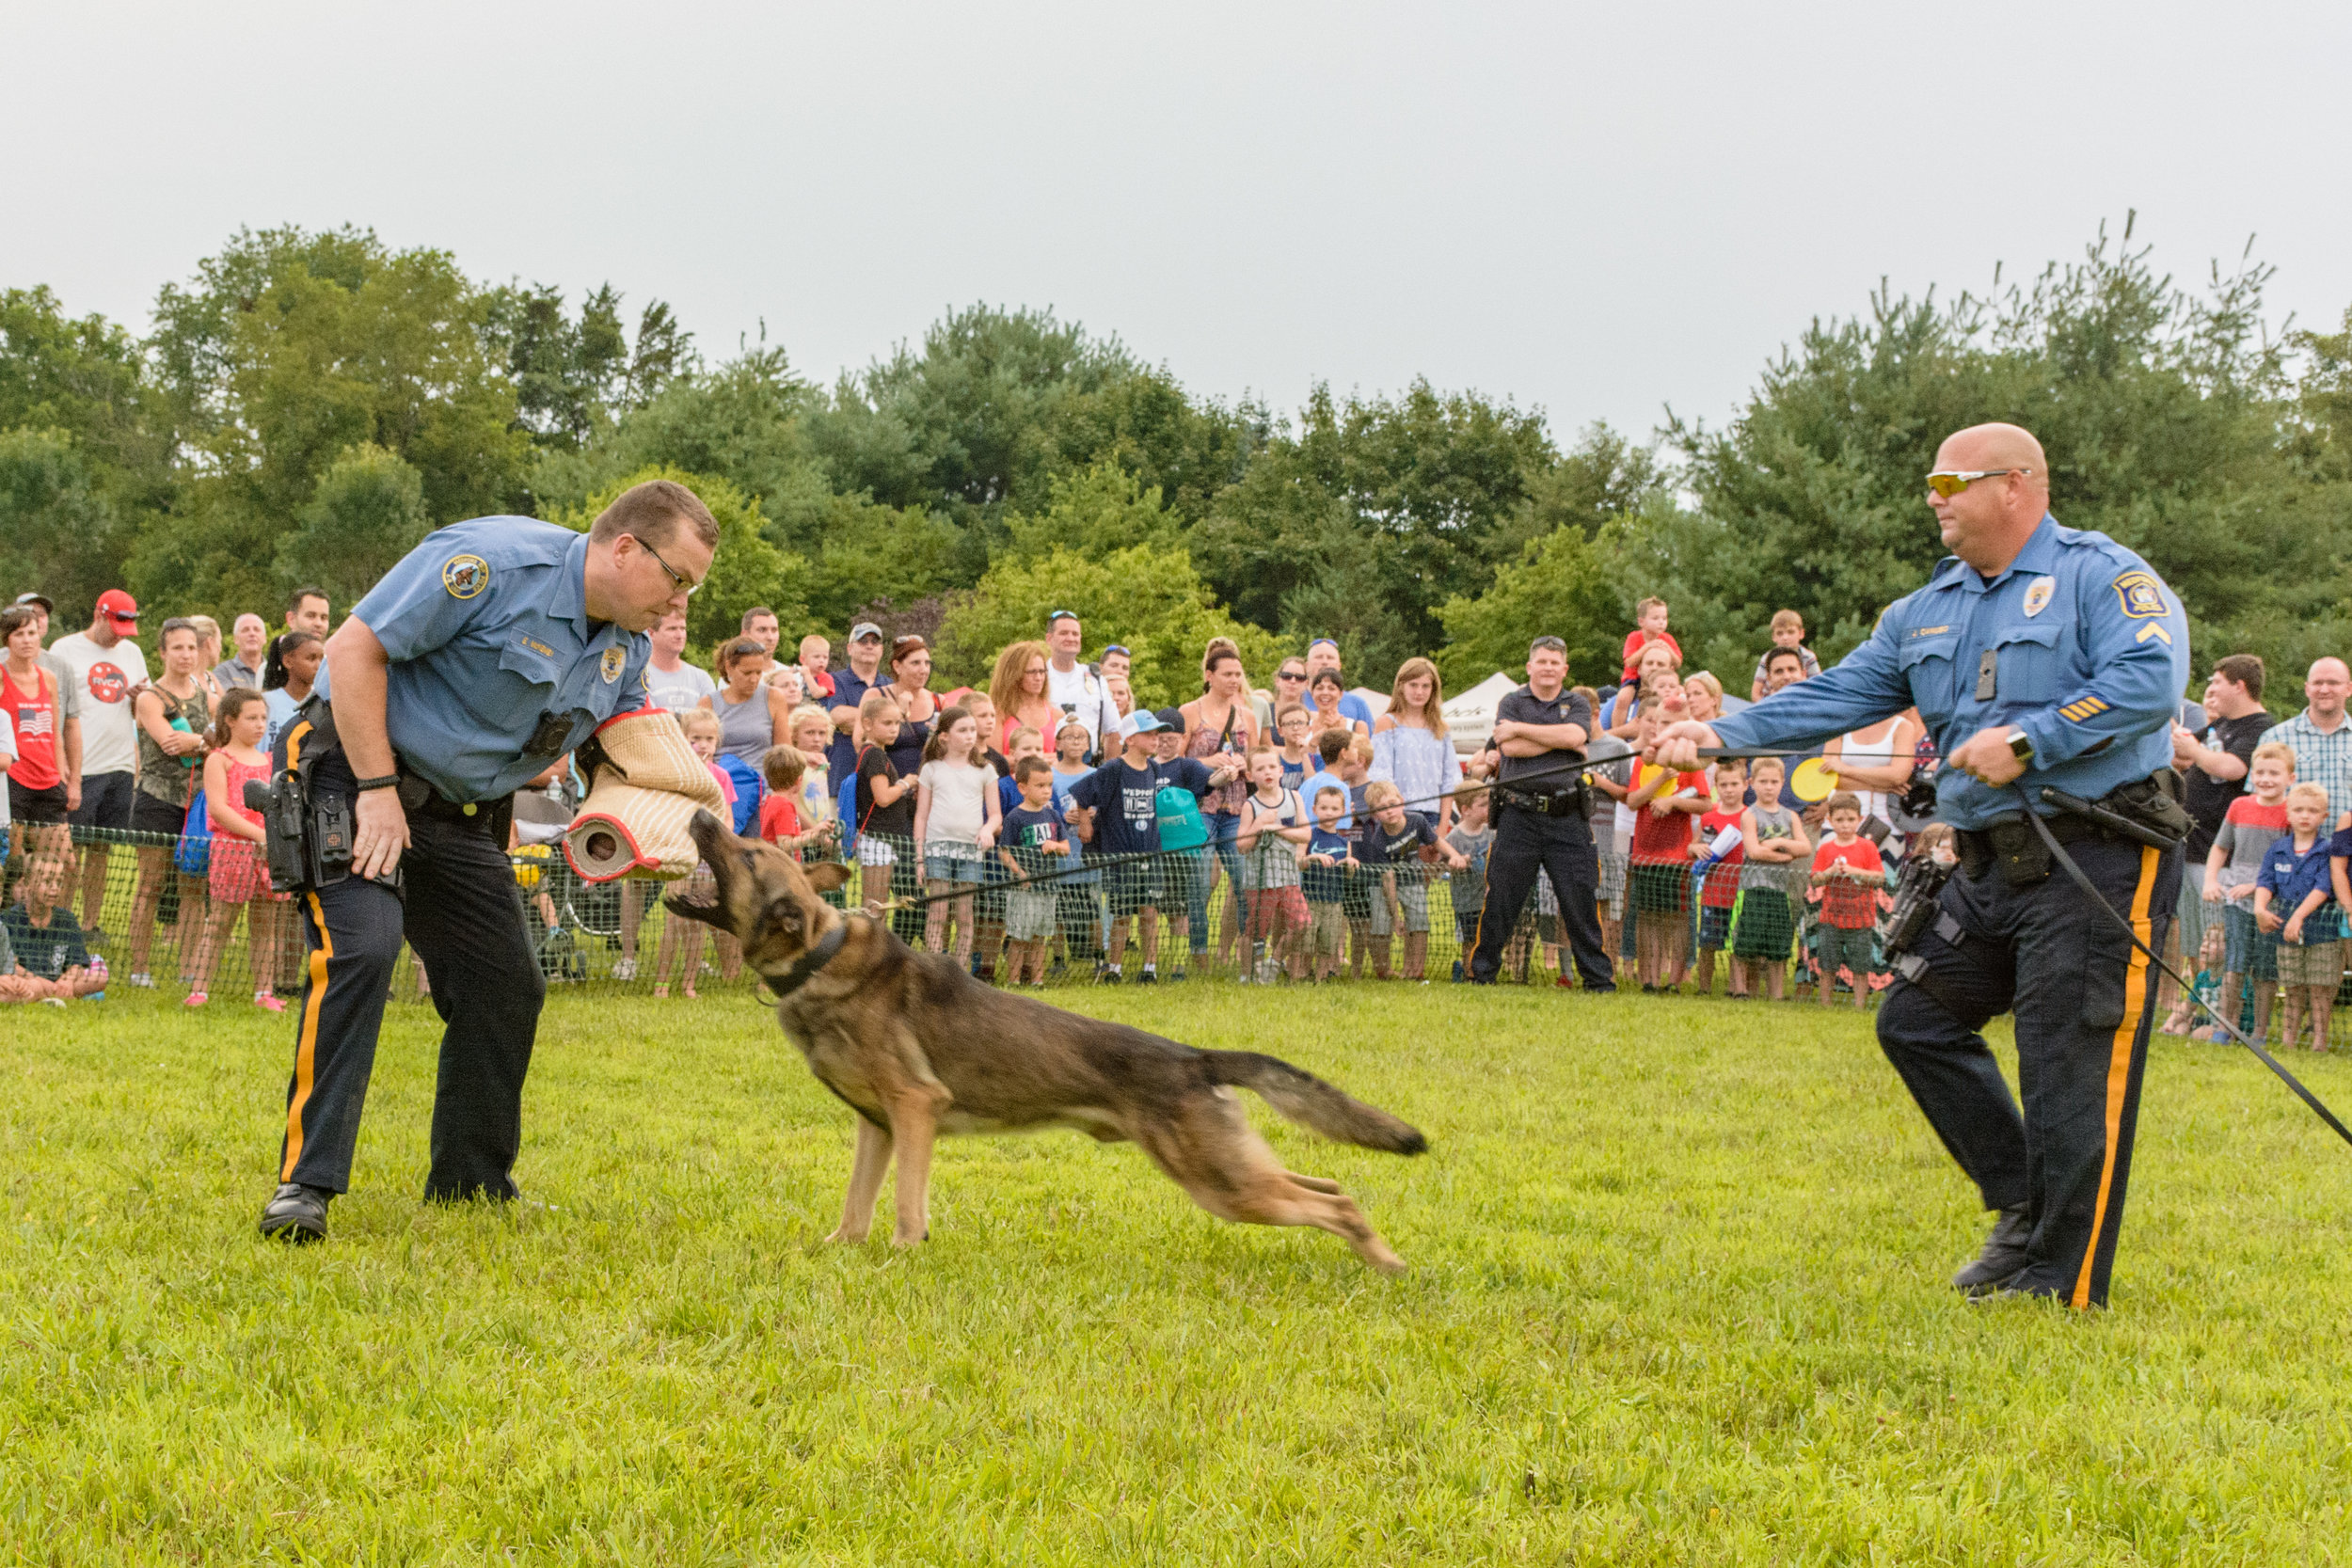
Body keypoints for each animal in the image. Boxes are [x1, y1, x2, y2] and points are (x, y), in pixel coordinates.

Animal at [668, 817, 1430, 1269]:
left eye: (745, 853)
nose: (701, 816)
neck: (819, 957)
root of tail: (1191, 1058)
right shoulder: (876, 1126)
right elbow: (855, 1208)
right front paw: (840, 1251)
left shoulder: (914, 1109)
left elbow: (907, 1206)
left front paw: (904, 1256)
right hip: (1231, 1176)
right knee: (1328, 1184)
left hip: (1223, 1183)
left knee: (1335, 1203)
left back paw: (1385, 1261)